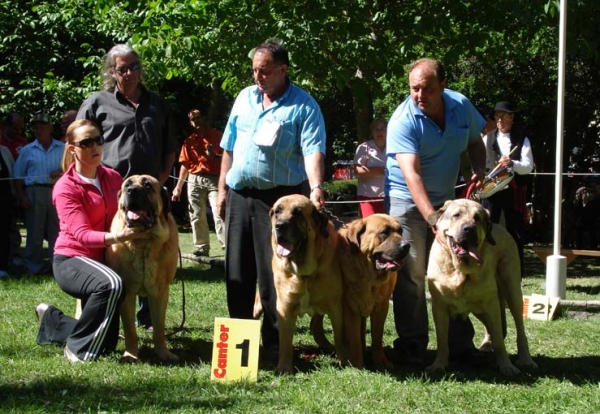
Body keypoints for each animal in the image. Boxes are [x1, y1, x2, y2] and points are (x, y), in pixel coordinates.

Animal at [105, 175, 178, 362]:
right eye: (127, 185)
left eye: (147, 185)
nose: (132, 191)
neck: (144, 240)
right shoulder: (127, 293)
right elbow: (130, 329)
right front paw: (130, 354)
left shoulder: (160, 292)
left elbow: (159, 327)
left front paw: (163, 353)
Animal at [270, 196, 344, 374]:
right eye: (277, 212)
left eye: (297, 213)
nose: (279, 226)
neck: (303, 274)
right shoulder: (284, 308)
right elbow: (285, 342)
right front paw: (284, 368)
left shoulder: (336, 307)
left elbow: (339, 337)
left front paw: (343, 361)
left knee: (316, 327)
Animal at [426, 199, 540, 376]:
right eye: (456, 215)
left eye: (477, 218)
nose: (469, 229)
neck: (461, 270)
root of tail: (501, 227)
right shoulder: (439, 307)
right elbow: (442, 340)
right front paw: (438, 365)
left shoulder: (491, 304)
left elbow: (500, 340)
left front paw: (506, 366)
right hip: (479, 308)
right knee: (490, 327)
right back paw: (486, 345)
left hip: (512, 291)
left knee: (519, 328)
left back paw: (526, 360)